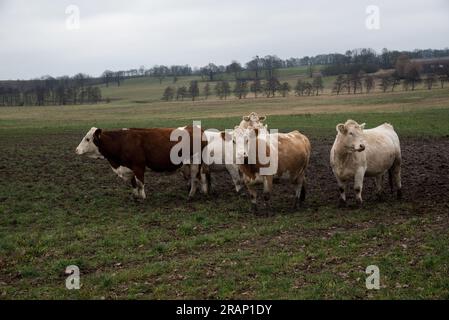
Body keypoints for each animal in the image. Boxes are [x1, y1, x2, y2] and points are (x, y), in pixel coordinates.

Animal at [75, 127, 206, 200]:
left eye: (87, 139)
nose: (76, 150)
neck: (121, 142)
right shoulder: (129, 168)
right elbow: (133, 183)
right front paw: (134, 196)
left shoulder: (138, 166)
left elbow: (140, 183)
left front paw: (143, 197)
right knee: (199, 178)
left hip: (195, 163)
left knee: (195, 179)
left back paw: (191, 195)